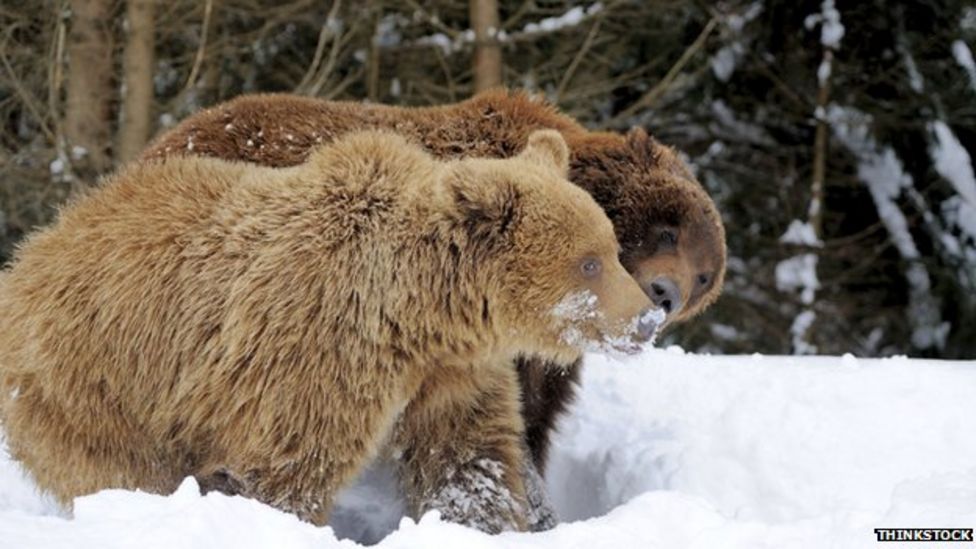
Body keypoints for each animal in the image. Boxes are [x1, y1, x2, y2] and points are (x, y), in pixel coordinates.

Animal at [3, 128, 660, 532]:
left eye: (609, 248)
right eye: (589, 262)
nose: (648, 318)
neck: (415, 314)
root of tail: (36, 248)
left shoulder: (450, 372)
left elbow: (466, 454)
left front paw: (480, 520)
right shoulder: (315, 355)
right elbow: (290, 465)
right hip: (99, 381)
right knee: (123, 470)